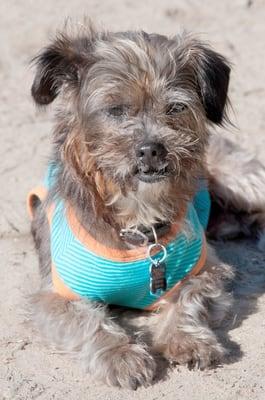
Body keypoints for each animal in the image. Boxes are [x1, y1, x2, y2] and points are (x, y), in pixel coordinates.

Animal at [26, 21, 264, 388]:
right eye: (114, 110)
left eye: (176, 108)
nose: (152, 148)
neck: (137, 218)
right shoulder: (55, 298)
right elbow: (89, 323)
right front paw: (121, 355)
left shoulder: (207, 269)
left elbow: (188, 298)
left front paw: (186, 338)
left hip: (244, 181)